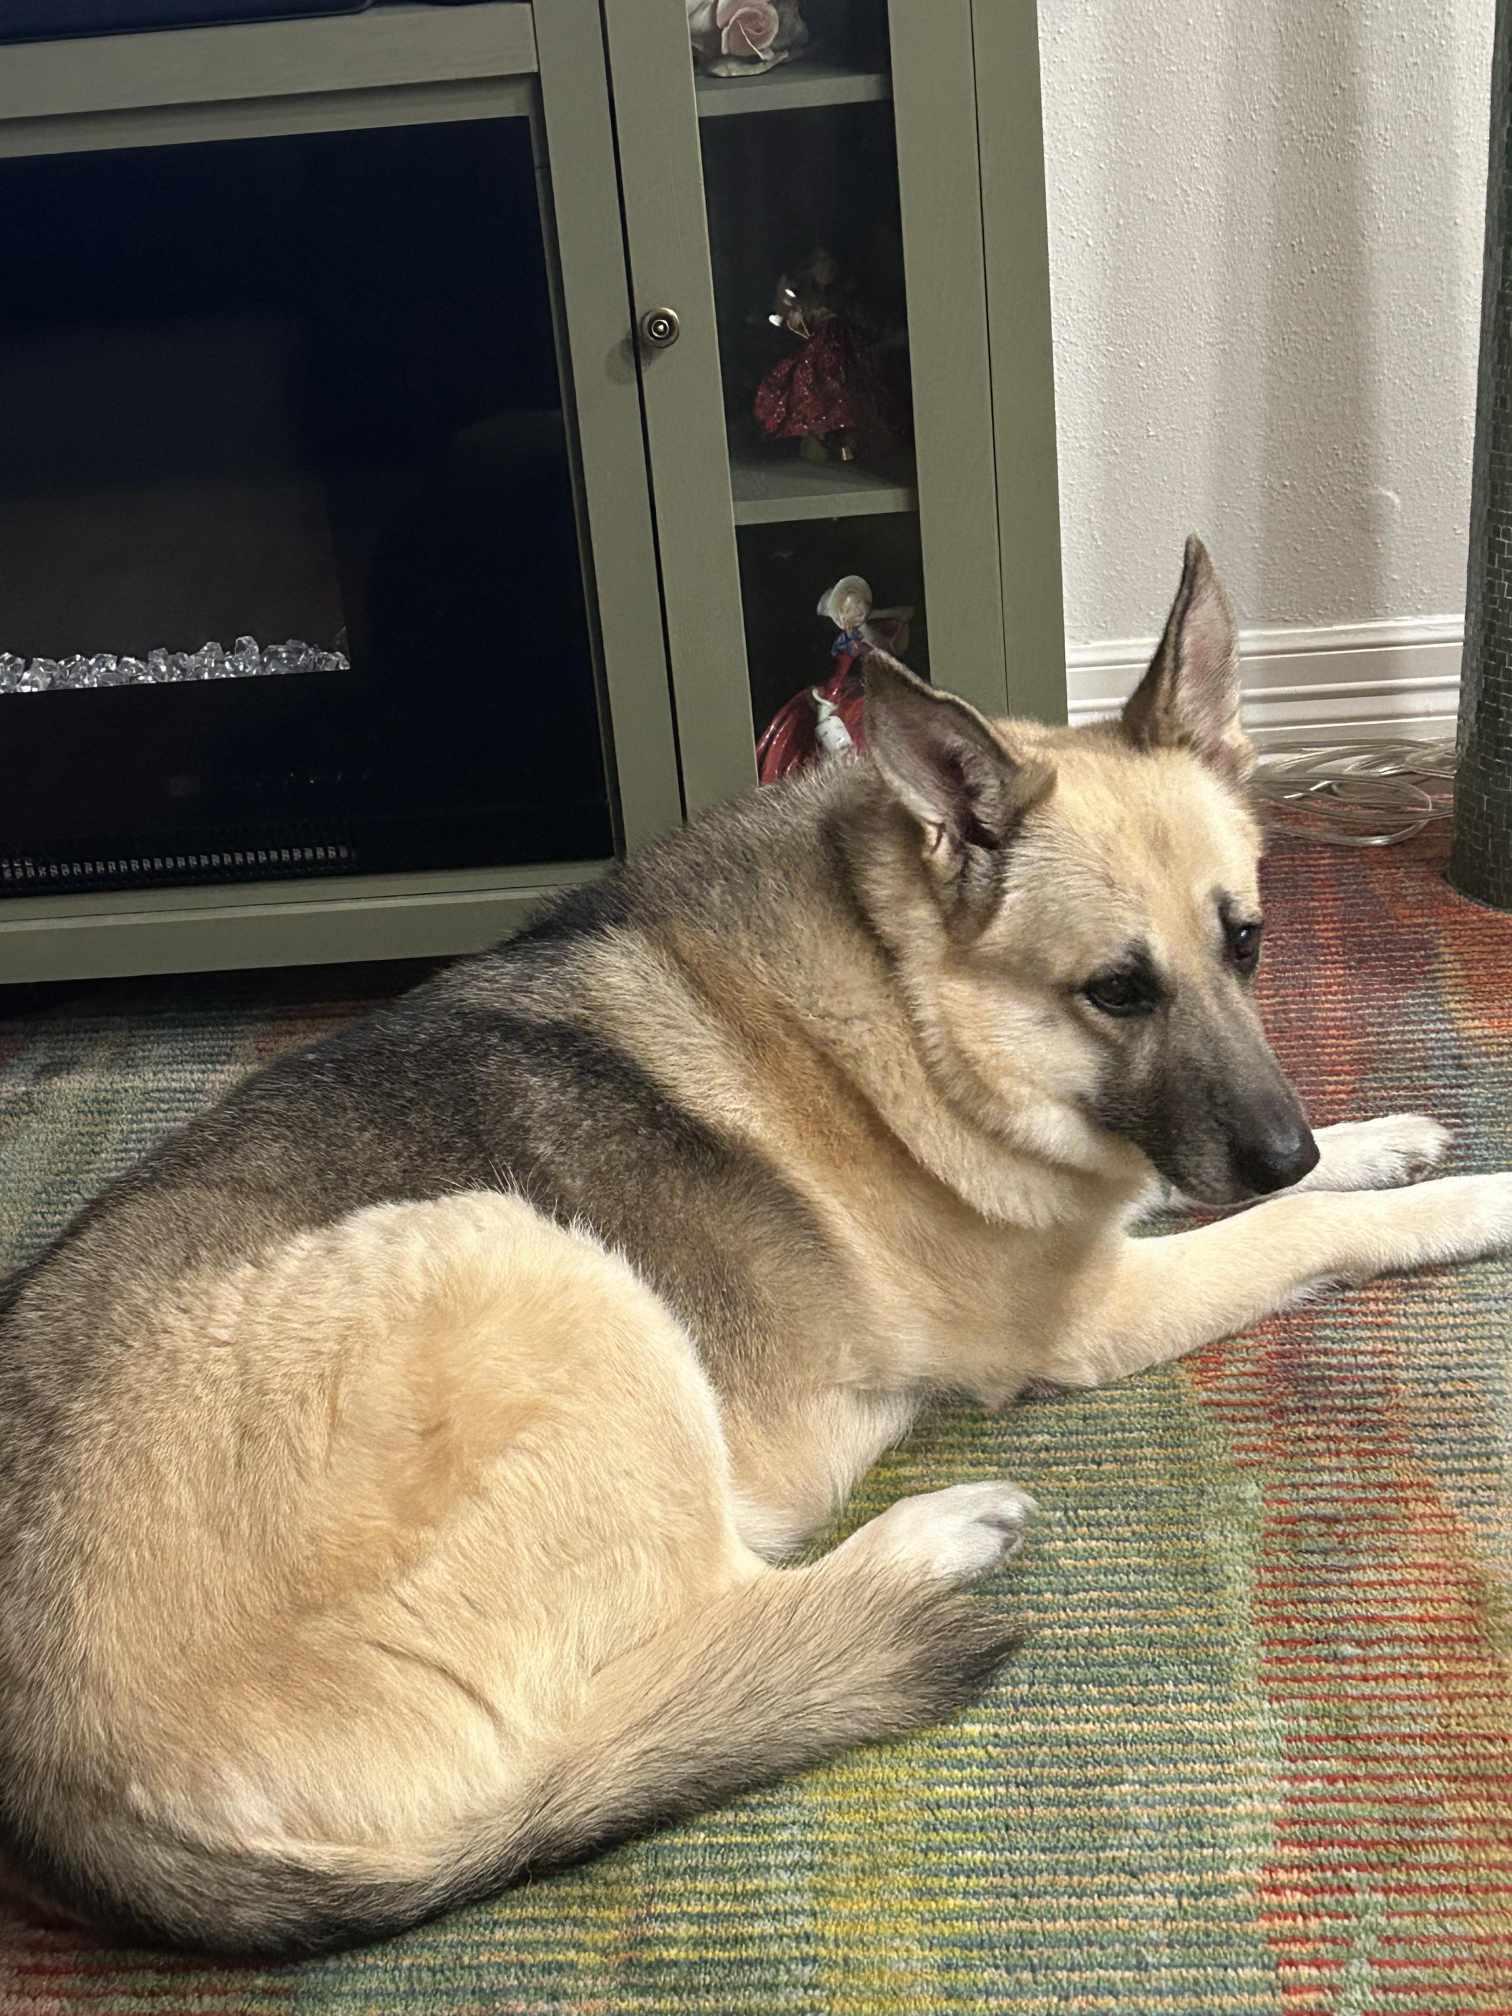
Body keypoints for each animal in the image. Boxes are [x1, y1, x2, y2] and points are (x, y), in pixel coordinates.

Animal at [1, 537, 1507, 1959]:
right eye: (1116, 993)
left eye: (1247, 943)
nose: (1283, 1143)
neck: (910, 987)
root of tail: (62, 1798)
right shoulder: (1094, 1308)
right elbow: (1301, 1229)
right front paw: (1463, 1198)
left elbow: (1268, 1190)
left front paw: (1380, 1138)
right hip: (544, 1268)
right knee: (723, 1613)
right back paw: (929, 1538)